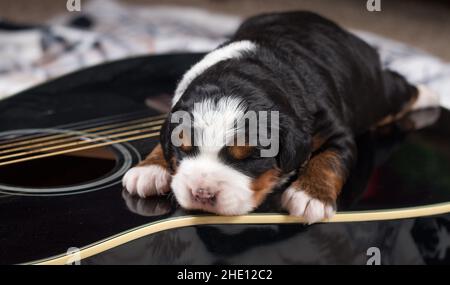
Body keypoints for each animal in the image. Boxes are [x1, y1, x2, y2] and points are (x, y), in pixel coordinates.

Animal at [123, 12, 440, 223]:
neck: (247, 72)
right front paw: (149, 169)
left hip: (374, 92)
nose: (202, 193)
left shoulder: (336, 131)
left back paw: (431, 95)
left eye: (250, 157)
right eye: (183, 148)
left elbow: (329, 160)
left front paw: (310, 196)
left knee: (400, 88)